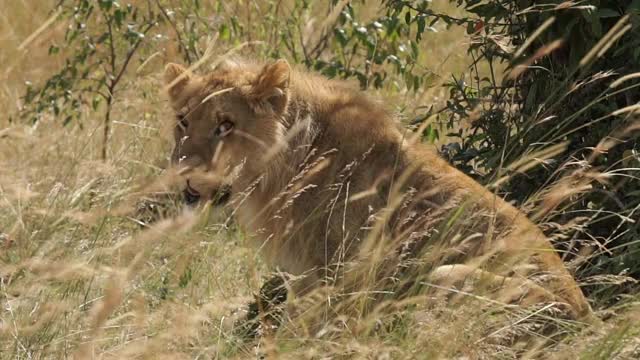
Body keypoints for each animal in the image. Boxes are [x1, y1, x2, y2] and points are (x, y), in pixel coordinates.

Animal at [162, 57, 592, 324]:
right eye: (183, 121)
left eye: (226, 125)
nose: (183, 172)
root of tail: (588, 321)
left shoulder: (332, 272)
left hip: (446, 275)